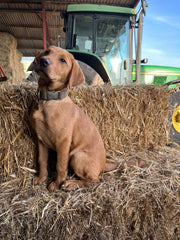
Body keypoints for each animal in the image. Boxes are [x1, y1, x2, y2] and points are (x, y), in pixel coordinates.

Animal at [32, 46, 142, 190]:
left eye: (63, 60)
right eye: (47, 52)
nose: (44, 61)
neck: (50, 100)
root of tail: (104, 164)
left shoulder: (63, 142)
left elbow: (60, 165)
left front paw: (56, 184)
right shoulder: (41, 140)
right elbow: (42, 161)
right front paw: (41, 178)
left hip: (77, 156)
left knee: (94, 179)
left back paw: (71, 183)